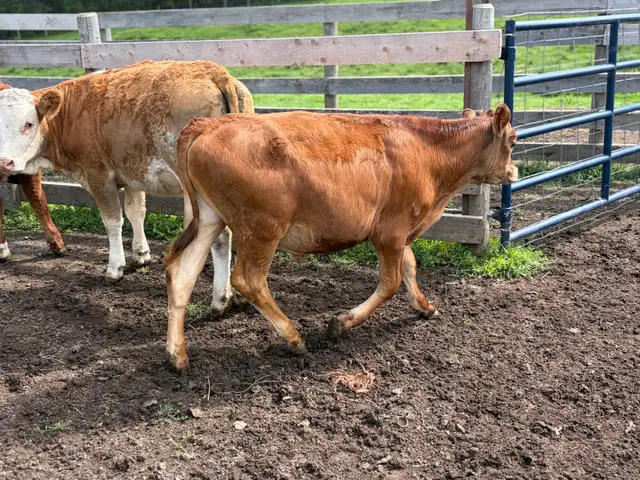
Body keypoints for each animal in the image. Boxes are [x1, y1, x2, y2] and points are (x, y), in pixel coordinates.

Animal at [0, 81, 66, 261]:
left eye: (29, 123)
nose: (4, 162)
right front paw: (2, 247)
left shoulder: (29, 172)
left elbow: (39, 202)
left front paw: (57, 243)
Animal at [162, 106, 518, 370]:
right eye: (513, 140)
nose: (513, 171)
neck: (428, 151)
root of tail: (208, 124)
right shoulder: (391, 231)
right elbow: (390, 282)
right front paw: (342, 323)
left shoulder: (399, 233)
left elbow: (410, 267)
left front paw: (425, 306)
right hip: (261, 228)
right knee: (248, 280)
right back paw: (293, 337)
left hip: (210, 218)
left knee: (182, 273)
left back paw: (177, 355)